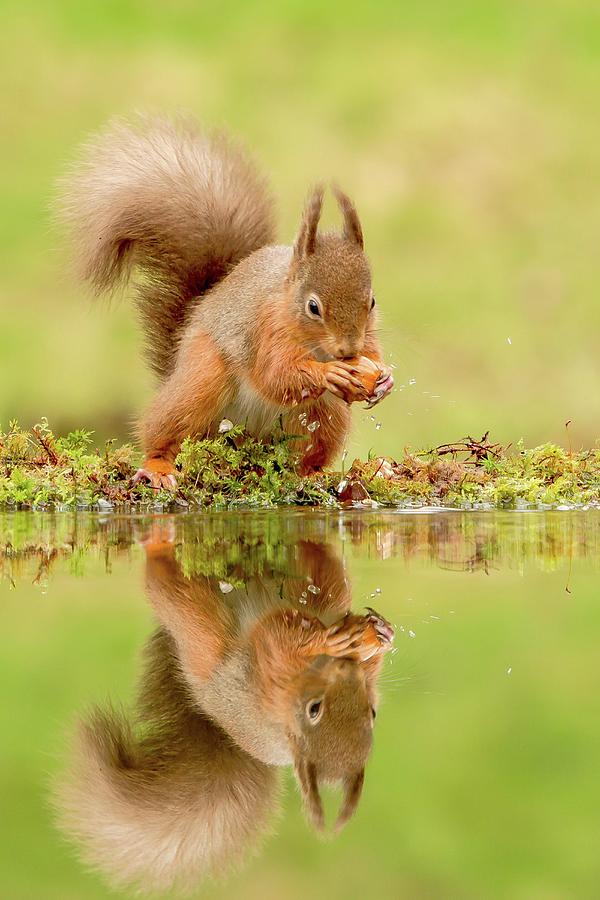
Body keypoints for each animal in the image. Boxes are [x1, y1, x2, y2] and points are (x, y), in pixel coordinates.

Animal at [61, 118, 394, 488]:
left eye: (372, 301)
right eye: (313, 307)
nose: (349, 350)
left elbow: (372, 353)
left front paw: (384, 379)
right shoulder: (266, 328)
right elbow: (275, 374)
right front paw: (330, 373)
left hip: (324, 416)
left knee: (303, 460)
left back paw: (323, 473)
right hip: (201, 380)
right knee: (163, 430)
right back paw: (158, 467)